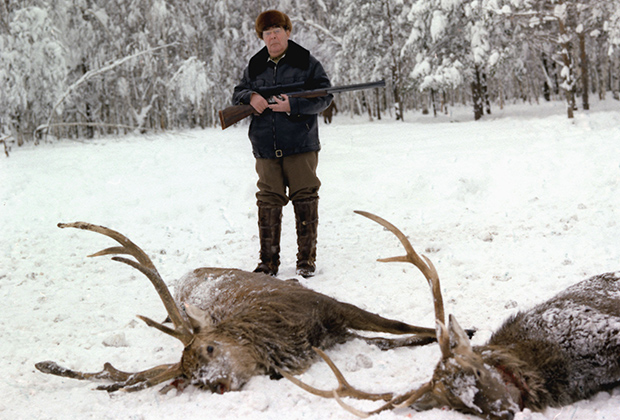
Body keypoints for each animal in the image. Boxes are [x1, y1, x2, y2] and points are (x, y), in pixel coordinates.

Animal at [35, 220, 440, 394]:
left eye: (211, 348)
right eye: (192, 377)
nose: (216, 384)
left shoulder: (325, 306)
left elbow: (399, 326)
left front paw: (448, 332)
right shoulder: (328, 337)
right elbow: (385, 339)